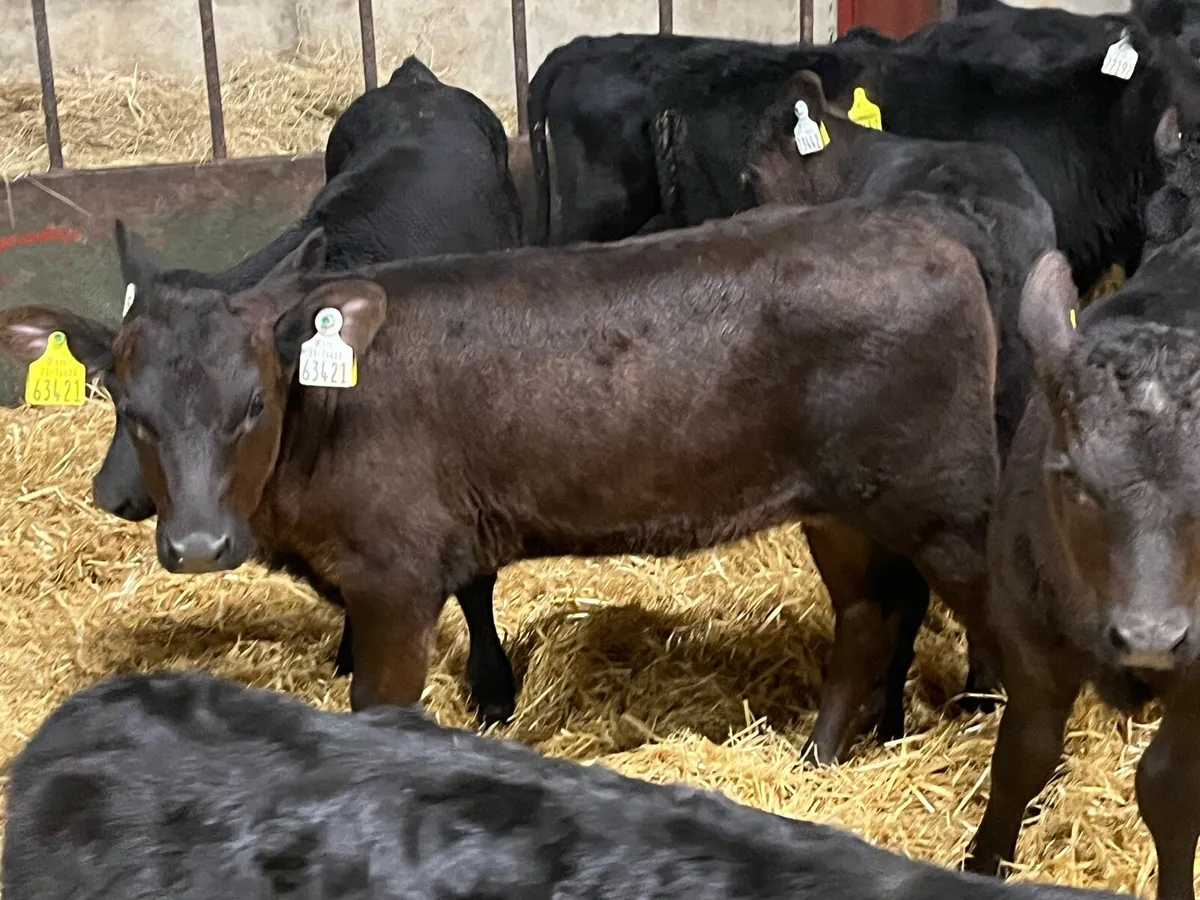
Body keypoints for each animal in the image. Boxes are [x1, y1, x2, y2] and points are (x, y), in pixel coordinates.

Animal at [90, 196, 1001, 763]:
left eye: (253, 403)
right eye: (128, 404)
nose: (197, 544)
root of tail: (931, 231)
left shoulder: (394, 573)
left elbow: (381, 704)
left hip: (949, 502)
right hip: (843, 506)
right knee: (871, 613)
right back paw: (817, 761)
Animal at [962, 91, 1200, 900]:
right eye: (1069, 476)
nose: (1152, 635)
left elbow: (1170, 786)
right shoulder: (1027, 629)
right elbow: (1022, 757)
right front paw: (982, 862)